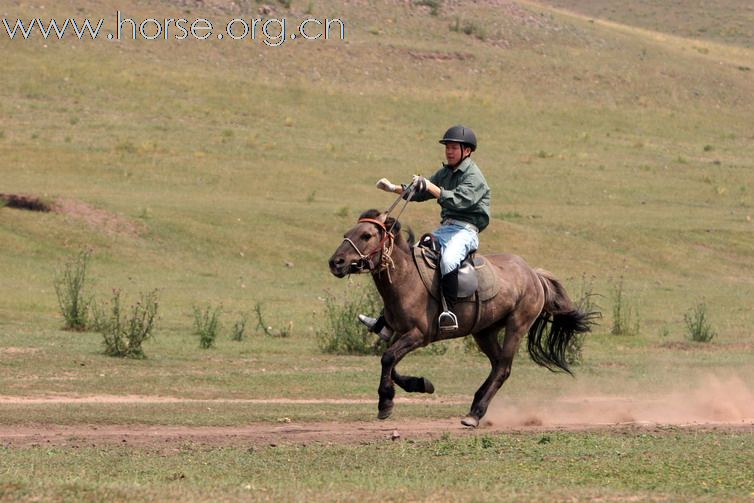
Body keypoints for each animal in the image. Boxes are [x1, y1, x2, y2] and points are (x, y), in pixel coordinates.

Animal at [326, 210, 596, 430]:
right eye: (347, 234)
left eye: (366, 235)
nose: (335, 262)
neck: (406, 278)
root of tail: (534, 274)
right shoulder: (399, 333)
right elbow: (392, 365)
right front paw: (420, 384)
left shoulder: (418, 335)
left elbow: (388, 358)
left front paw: (385, 402)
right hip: (484, 332)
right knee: (496, 365)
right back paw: (475, 404)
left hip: (517, 326)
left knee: (503, 368)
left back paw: (475, 414)